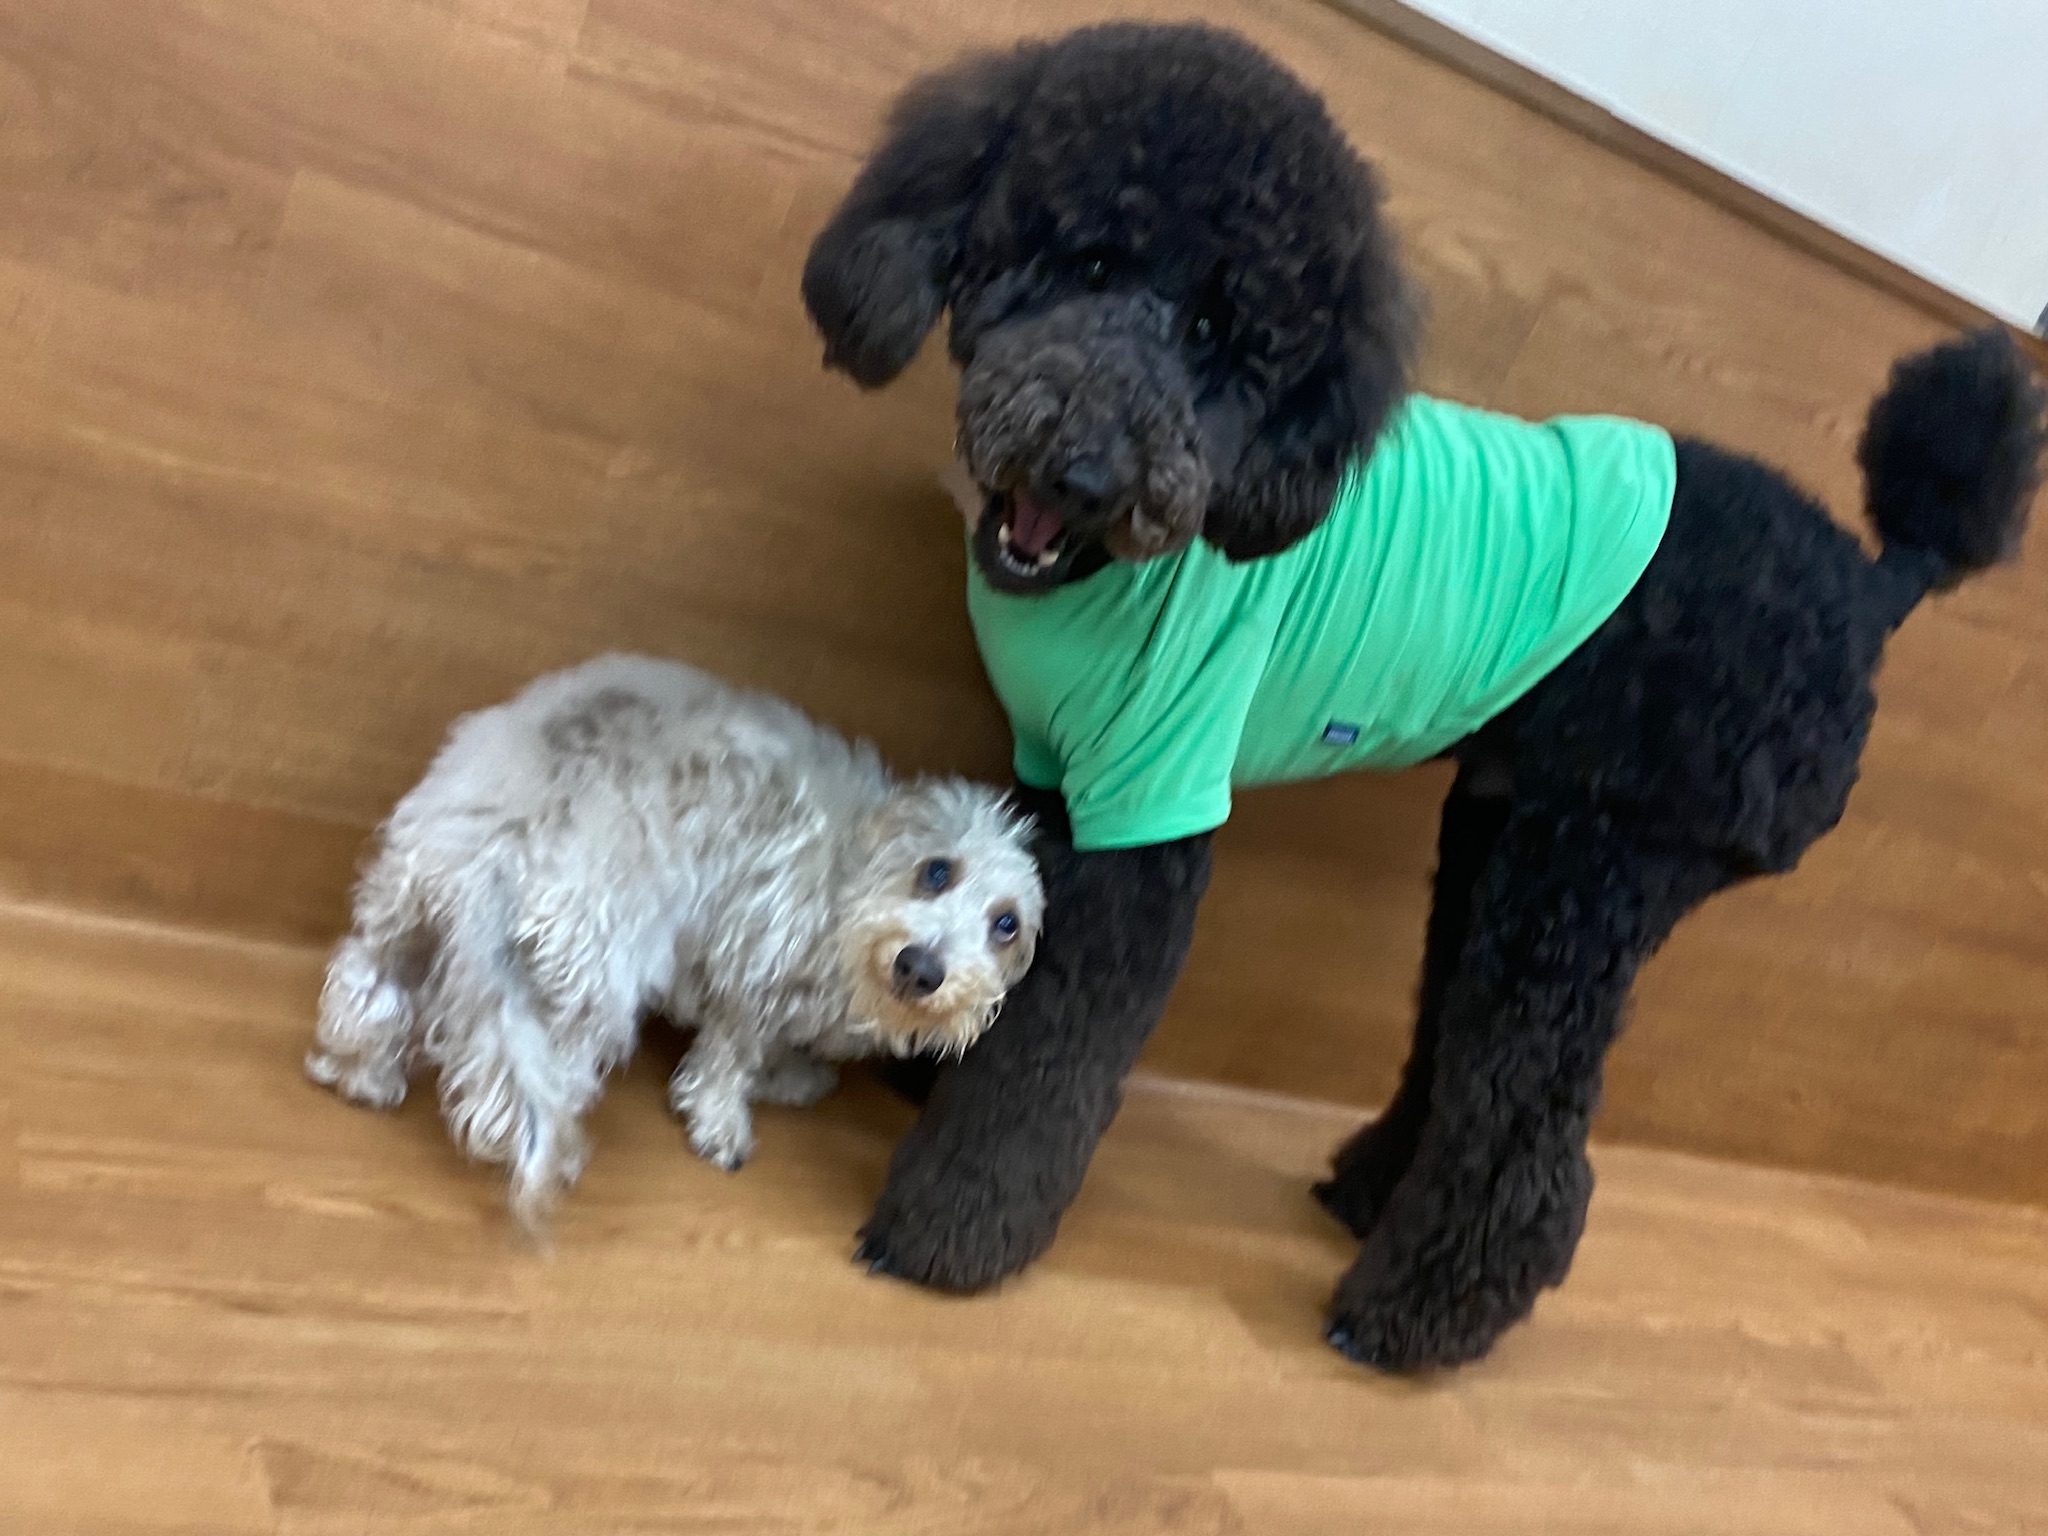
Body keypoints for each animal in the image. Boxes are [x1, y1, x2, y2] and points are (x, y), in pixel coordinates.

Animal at [306, 655, 1044, 1227]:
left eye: (1006, 925)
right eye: (937, 871)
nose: (921, 967)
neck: (852, 878)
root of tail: (511, 834)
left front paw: (792, 1077)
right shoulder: (756, 974)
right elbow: (729, 1061)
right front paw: (722, 1123)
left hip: (405, 902)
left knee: (364, 986)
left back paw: (361, 1074)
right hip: (587, 978)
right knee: (537, 1075)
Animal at [801, 21, 2048, 1369]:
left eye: (1215, 334)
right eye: (1085, 261)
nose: (1088, 471)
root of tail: (1871, 583)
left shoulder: (1154, 795)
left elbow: (1057, 1044)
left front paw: (947, 1233)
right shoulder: (1060, 767)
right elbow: (1015, 924)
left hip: (1596, 871)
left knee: (1526, 1124)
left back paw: (1411, 1320)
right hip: (1504, 834)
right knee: (1457, 1042)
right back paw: (1366, 1196)